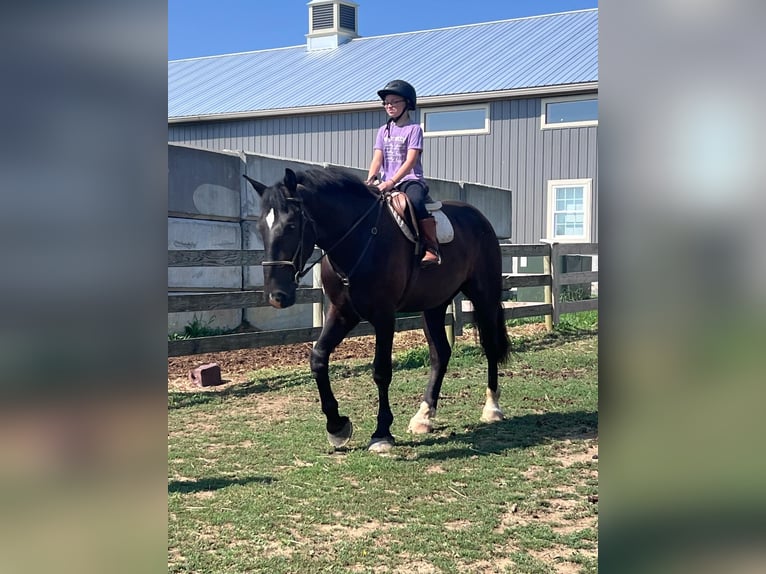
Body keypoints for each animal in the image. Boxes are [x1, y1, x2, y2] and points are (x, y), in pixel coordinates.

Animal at [246, 166, 510, 454]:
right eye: (260, 228)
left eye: (292, 225)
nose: (276, 296)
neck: (359, 238)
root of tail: (478, 217)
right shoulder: (342, 313)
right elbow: (318, 358)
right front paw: (336, 426)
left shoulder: (384, 316)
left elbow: (381, 371)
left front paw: (381, 433)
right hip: (434, 305)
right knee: (440, 354)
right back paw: (424, 416)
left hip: (484, 296)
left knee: (490, 347)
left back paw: (492, 408)